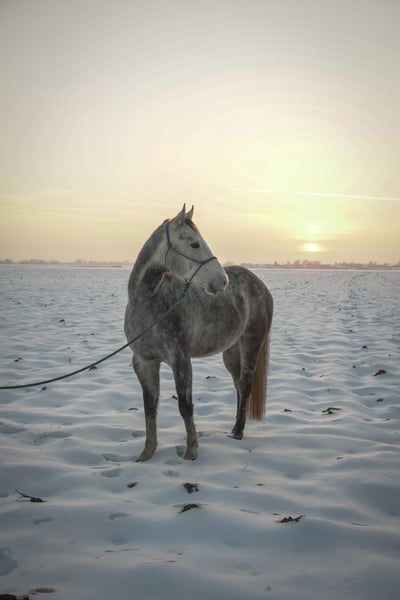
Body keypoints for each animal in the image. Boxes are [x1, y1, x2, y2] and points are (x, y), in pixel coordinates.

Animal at [124, 205, 273, 461]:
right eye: (194, 244)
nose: (222, 281)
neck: (149, 303)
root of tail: (259, 284)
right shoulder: (144, 362)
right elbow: (150, 406)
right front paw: (147, 453)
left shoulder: (181, 360)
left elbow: (185, 406)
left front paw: (191, 452)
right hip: (230, 353)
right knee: (238, 387)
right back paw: (234, 428)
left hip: (251, 345)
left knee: (245, 386)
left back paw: (239, 432)